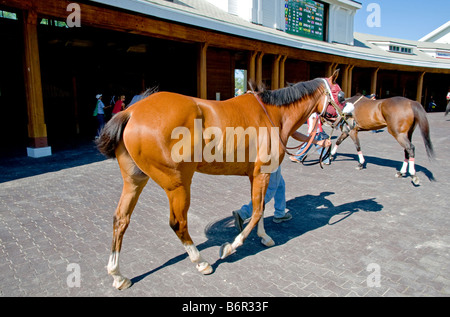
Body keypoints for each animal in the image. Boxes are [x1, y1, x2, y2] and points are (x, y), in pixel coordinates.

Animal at [95, 71, 342, 288]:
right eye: (339, 95)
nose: (344, 119)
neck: (272, 114)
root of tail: (132, 111)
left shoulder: (256, 175)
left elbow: (260, 207)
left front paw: (264, 236)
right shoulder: (262, 173)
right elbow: (257, 211)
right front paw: (231, 246)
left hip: (135, 180)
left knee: (121, 219)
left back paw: (118, 275)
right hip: (178, 184)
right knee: (178, 223)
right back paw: (201, 262)